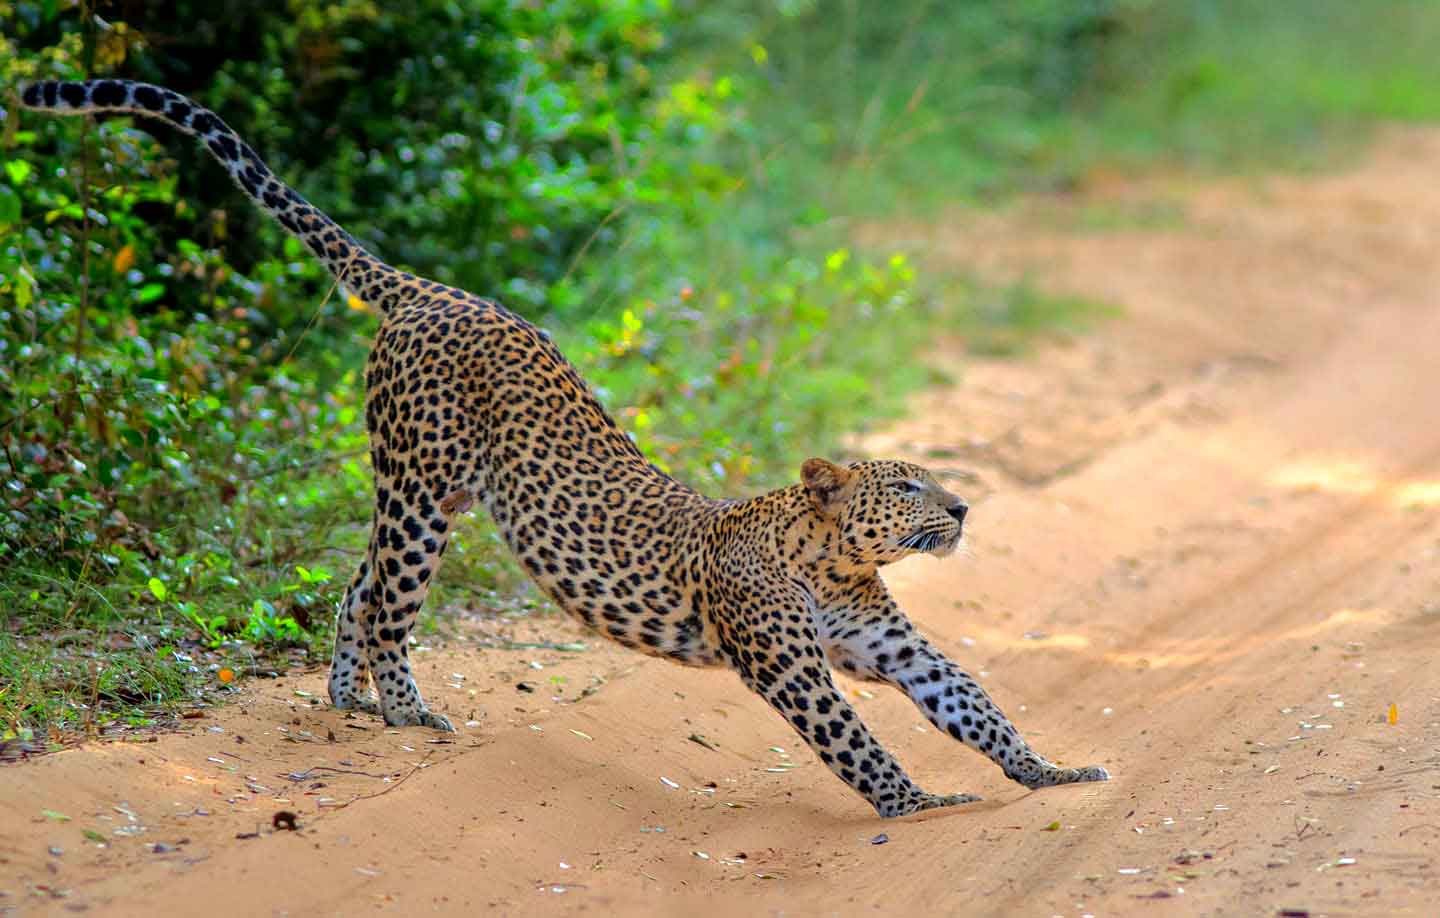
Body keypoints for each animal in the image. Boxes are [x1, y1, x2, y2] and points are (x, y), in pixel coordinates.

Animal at [16, 80, 1105, 817]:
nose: (961, 509)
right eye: (910, 484)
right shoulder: (791, 664)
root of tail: (428, 289)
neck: (828, 560)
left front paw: (1053, 770)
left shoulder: (893, 646)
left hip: (426, 492)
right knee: (391, 606)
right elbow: (852, 738)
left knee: (357, 588)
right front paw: (919, 803)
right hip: (420, 489)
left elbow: (974, 704)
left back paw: (347, 703)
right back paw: (407, 714)